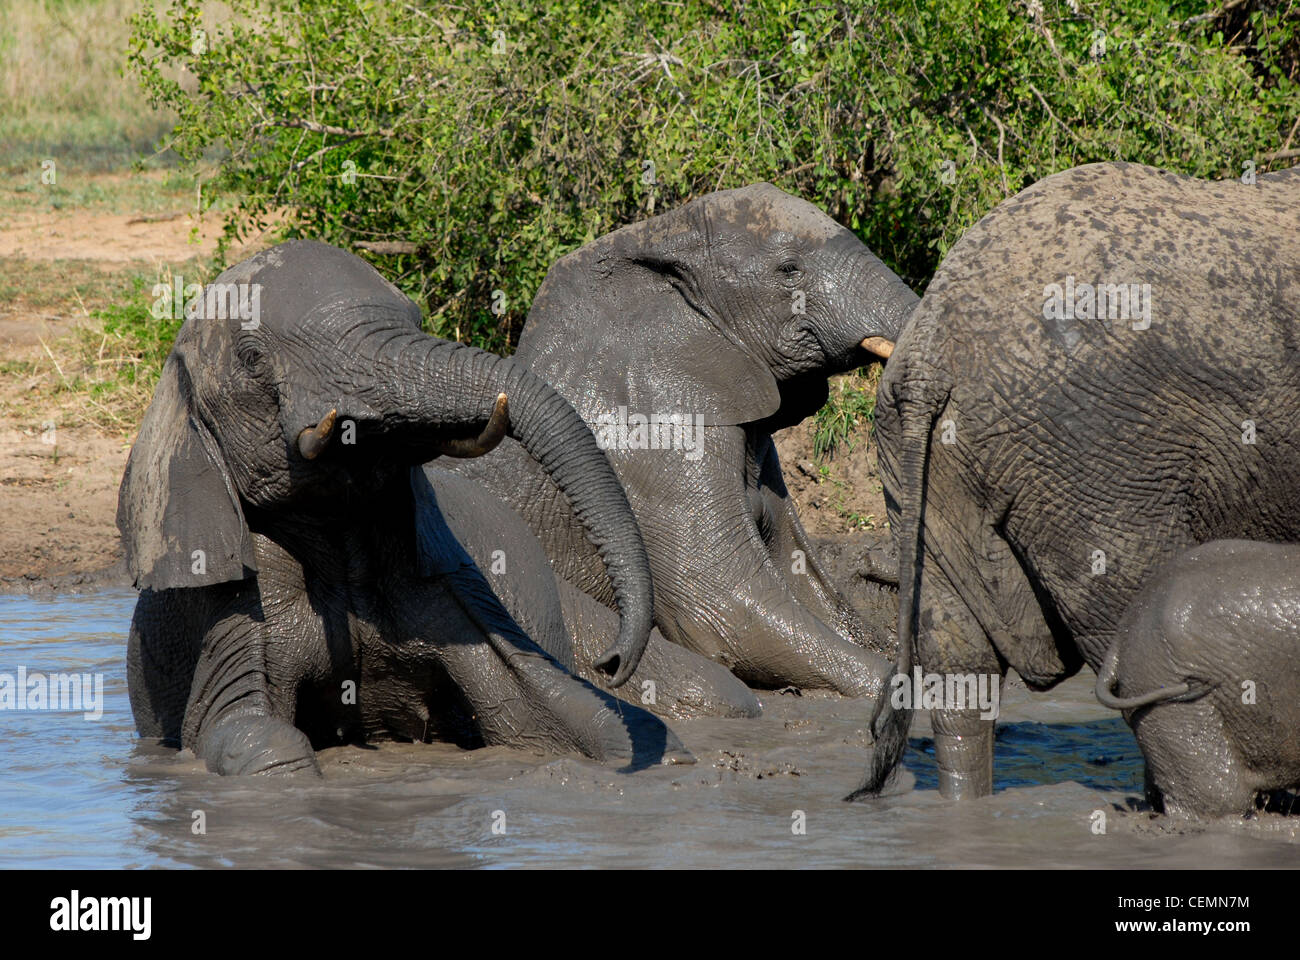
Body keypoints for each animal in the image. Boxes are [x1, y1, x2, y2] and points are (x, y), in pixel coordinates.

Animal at [118, 239, 703, 776]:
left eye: (417, 319)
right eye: (252, 359)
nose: (611, 662)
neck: (336, 524)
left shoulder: (446, 577)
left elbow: (564, 711)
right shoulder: (239, 598)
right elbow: (246, 733)